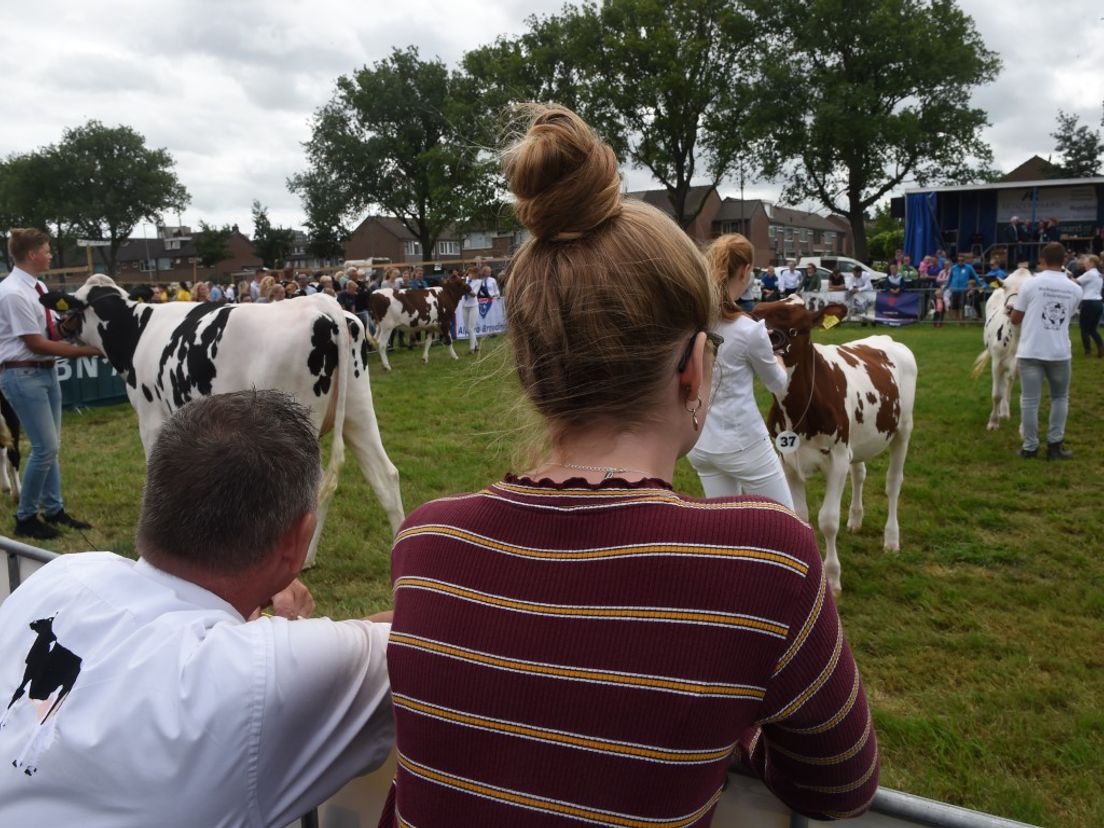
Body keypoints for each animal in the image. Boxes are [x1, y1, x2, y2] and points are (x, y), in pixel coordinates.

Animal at [43, 276, 408, 569]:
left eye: (77, 304)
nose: (59, 326)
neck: (138, 332)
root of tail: (323, 304)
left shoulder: (151, 417)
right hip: (358, 409)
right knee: (385, 474)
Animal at [750, 298, 914, 596]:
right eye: (756, 310)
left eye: (786, 314)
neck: (798, 411)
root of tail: (885, 338)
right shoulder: (787, 460)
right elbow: (801, 515)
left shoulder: (837, 458)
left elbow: (827, 520)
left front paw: (834, 577)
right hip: (858, 440)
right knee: (860, 474)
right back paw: (856, 520)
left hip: (903, 430)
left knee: (894, 484)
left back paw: (891, 539)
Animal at [971, 269, 1028, 430]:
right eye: (1005, 286)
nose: (1011, 308)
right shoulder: (996, 363)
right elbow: (996, 395)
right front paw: (993, 422)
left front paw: (1024, 428)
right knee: (1003, 385)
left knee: (1008, 383)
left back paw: (1005, 411)